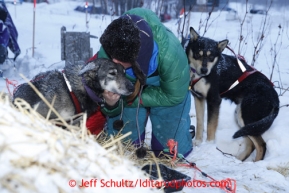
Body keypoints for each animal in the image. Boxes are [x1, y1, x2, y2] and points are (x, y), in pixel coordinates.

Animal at [186, 26, 278, 161]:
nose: (204, 70)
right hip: (242, 118)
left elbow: (210, 126)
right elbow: (199, 122)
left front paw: (208, 144)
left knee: (261, 145)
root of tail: (275, 98)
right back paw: (239, 161)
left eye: (211, 56)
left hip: (246, 117)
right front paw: (198, 142)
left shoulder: (214, 100)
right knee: (251, 144)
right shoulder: (199, 98)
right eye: (198, 54)